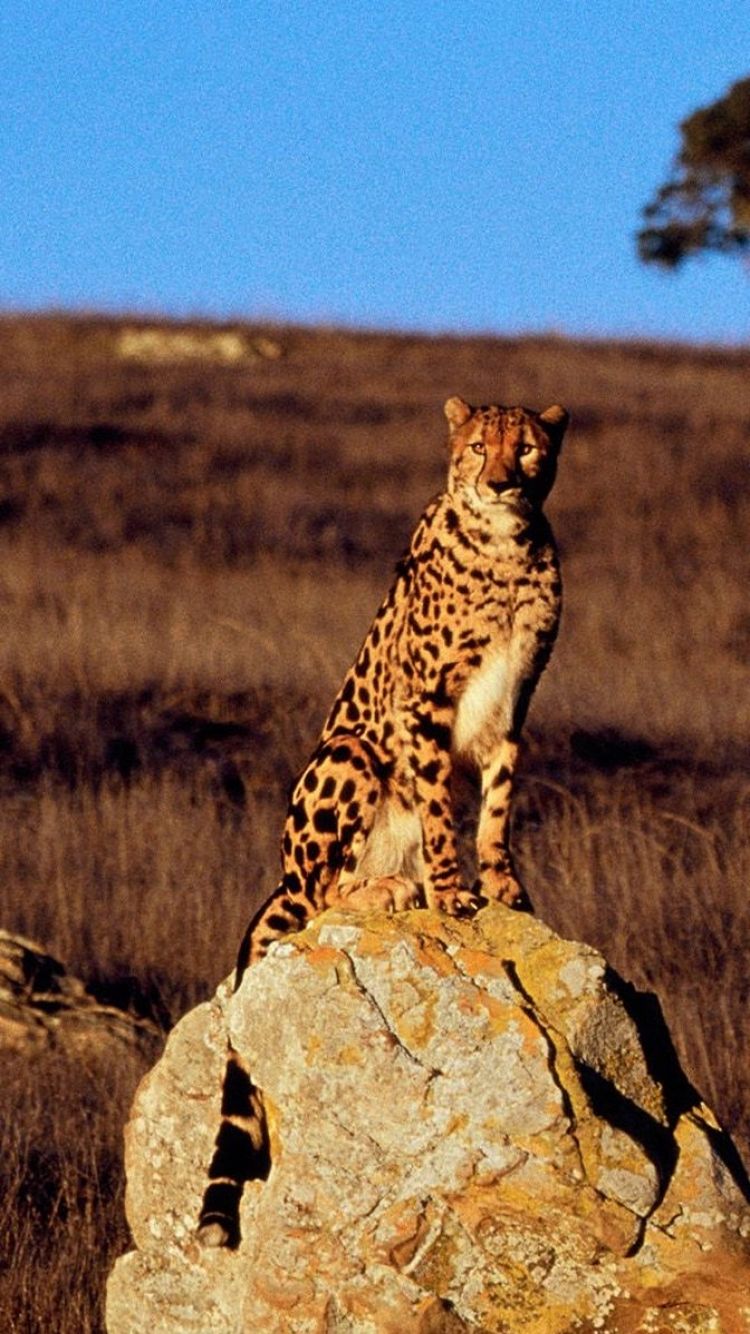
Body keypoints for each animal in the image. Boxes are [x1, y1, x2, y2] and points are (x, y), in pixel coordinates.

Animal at [197, 394, 569, 1246]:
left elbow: (495, 809)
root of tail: (280, 875)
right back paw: (388, 890)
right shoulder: (423, 706)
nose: (502, 483)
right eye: (479, 448)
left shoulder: (515, 706)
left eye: (529, 448)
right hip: (350, 753)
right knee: (321, 893)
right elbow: (438, 808)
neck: (509, 550)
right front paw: (451, 891)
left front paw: (503, 885)